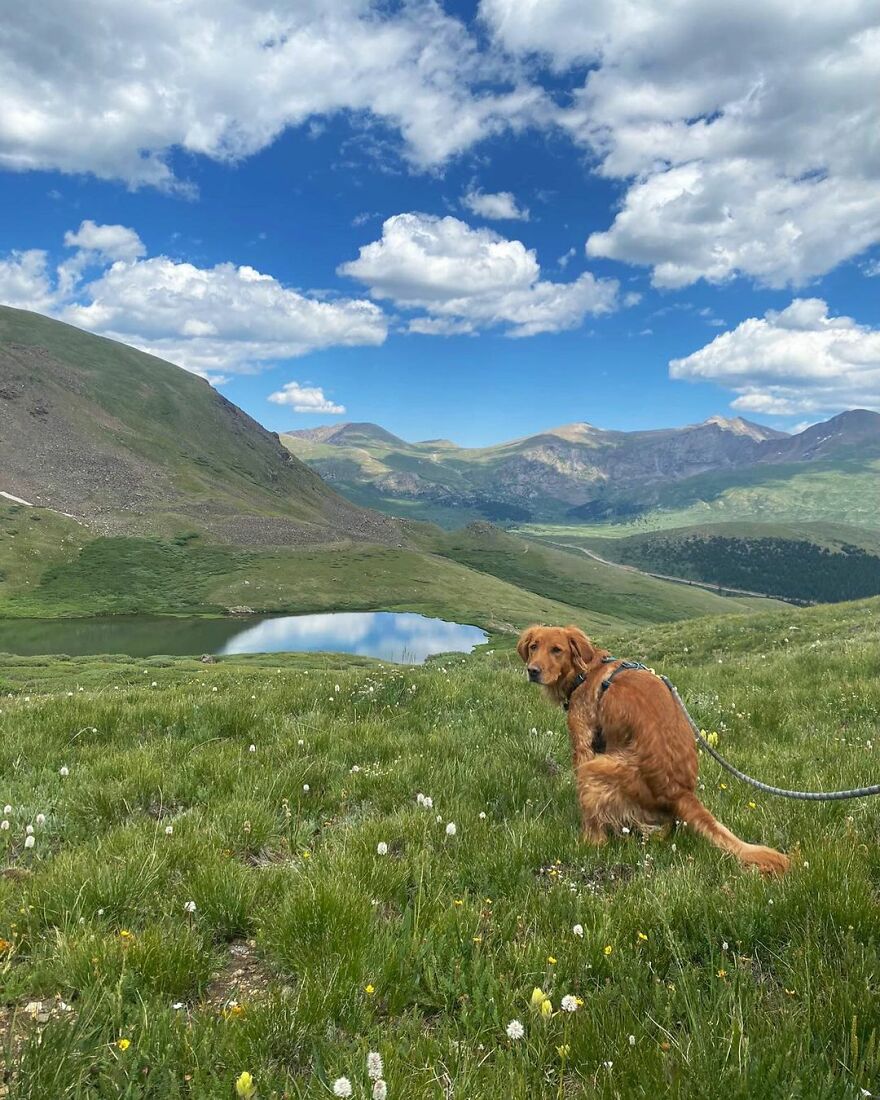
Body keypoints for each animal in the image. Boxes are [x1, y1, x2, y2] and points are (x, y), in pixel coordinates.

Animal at [514, 629, 792, 875]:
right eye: (534, 647)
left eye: (557, 650)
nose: (533, 671)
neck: (586, 672)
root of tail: (680, 792)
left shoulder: (583, 744)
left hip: (595, 770)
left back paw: (587, 843)